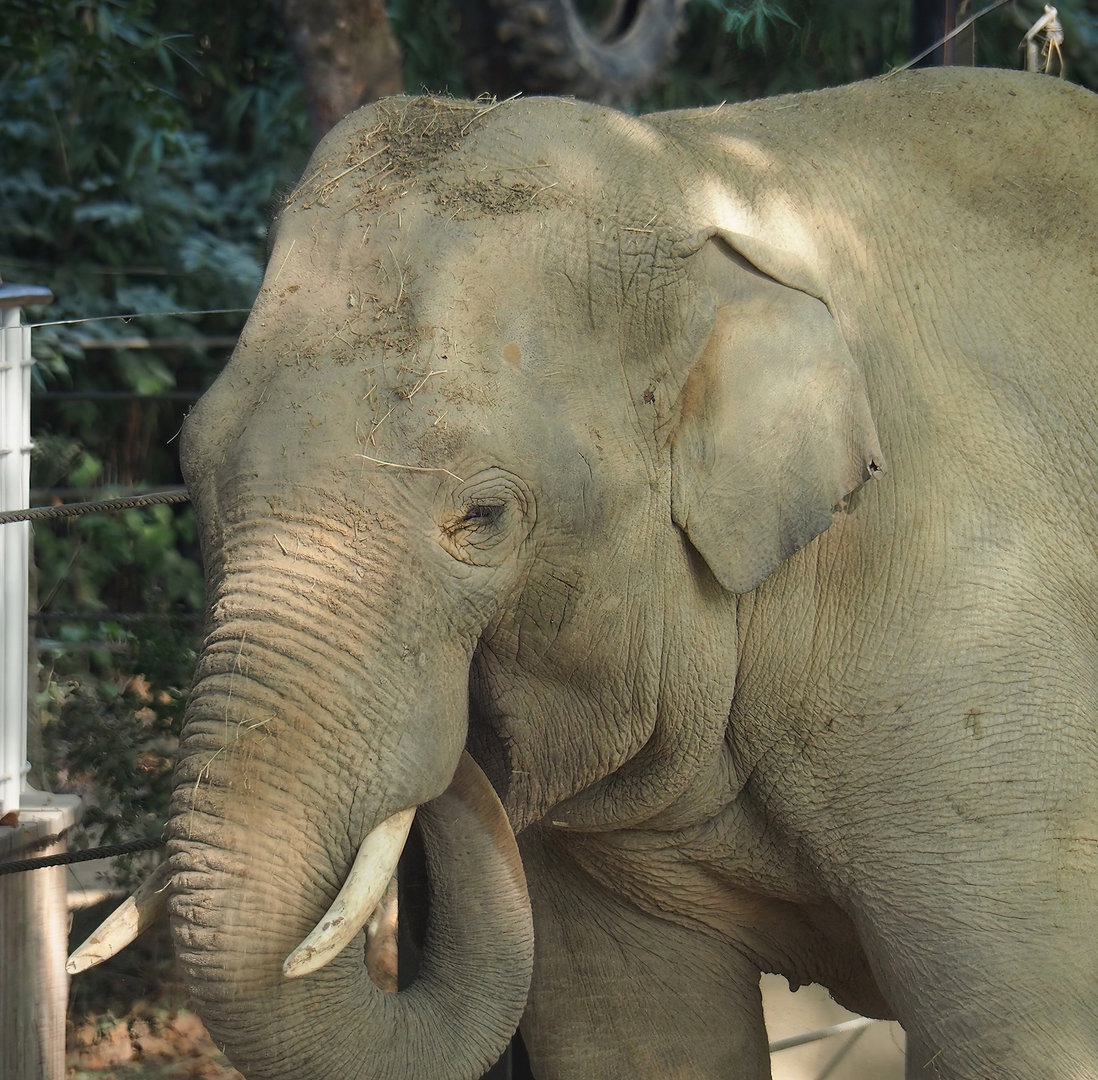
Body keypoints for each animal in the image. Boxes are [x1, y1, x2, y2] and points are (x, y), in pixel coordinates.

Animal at [69, 67, 1098, 1079]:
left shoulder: (976, 627)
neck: (703, 172)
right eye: (190, 472)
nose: (461, 744)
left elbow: (1015, 1037)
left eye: (484, 518)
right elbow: (632, 1035)